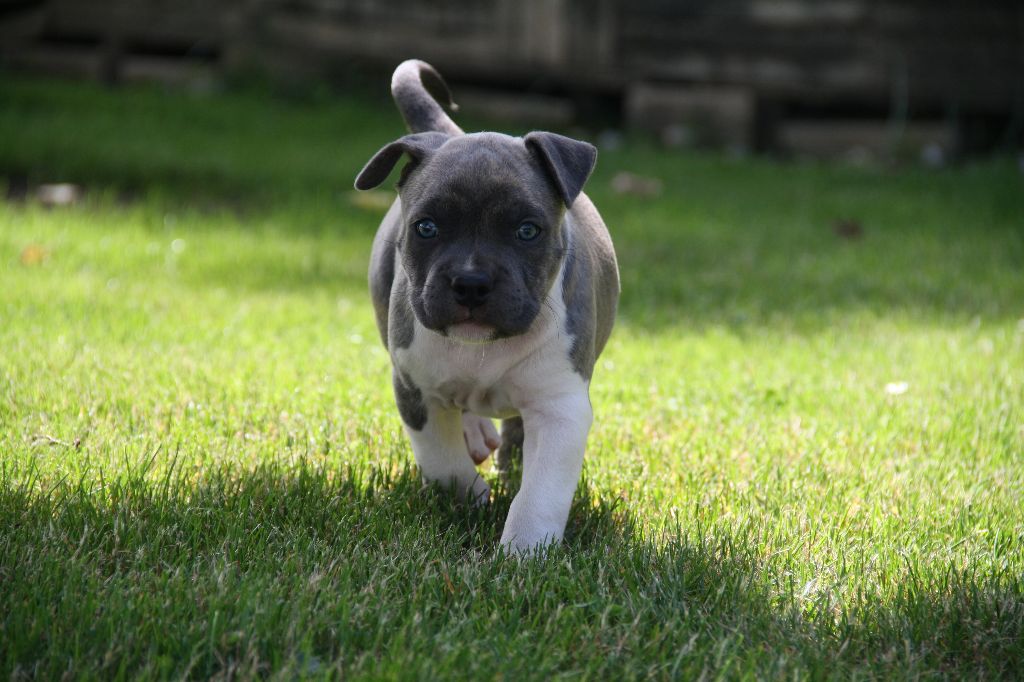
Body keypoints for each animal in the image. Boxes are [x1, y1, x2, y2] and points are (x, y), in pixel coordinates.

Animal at [355, 60, 619, 554]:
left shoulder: (559, 406)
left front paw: (523, 554)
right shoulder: (415, 389)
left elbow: (540, 493)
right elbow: (443, 461)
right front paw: (468, 500)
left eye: (527, 231)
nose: (471, 283)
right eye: (426, 227)